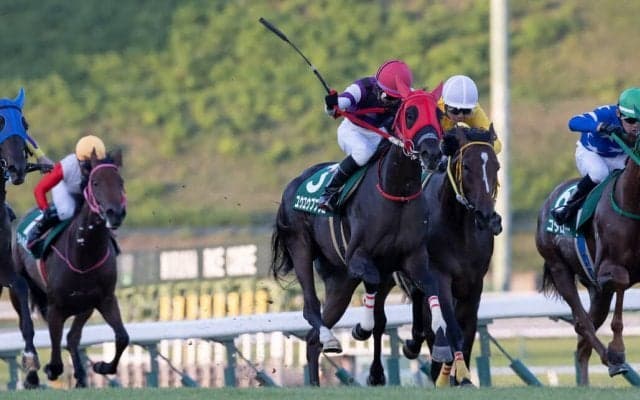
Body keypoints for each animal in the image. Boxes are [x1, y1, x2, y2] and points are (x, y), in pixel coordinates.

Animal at [10, 150, 128, 388]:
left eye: (120, 181)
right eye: (95, 182)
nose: (115, 213)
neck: (84, 253)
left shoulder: (104, 299)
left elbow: (121, 337)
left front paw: (102, 367)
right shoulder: (56, 305)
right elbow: (55, 347)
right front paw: (50, 369)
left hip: (84, 305)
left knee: (73, 337)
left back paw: (81, 376)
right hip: (18, 289)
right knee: (26, 325)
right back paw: (32, 375)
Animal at [270, 88, 450, 386]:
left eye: (437, 113)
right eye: (410, 114)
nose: (432, 153)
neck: (395, 191)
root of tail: (293, 184)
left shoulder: (414, 258)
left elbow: (431, 286)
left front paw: (440, 334)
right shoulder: (358, 256)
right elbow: (373, 287)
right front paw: (362, 328)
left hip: (340, 282)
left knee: (312, 340)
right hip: (301, 247)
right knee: (310, 306)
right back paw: (331, 337)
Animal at [536, 131, 640, 385]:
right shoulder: (607, 269)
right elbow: (621, 281)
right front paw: (617, 350)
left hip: (597, 292)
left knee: (583, 343)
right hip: (559, 268)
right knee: (582, 323)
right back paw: (612, 359)